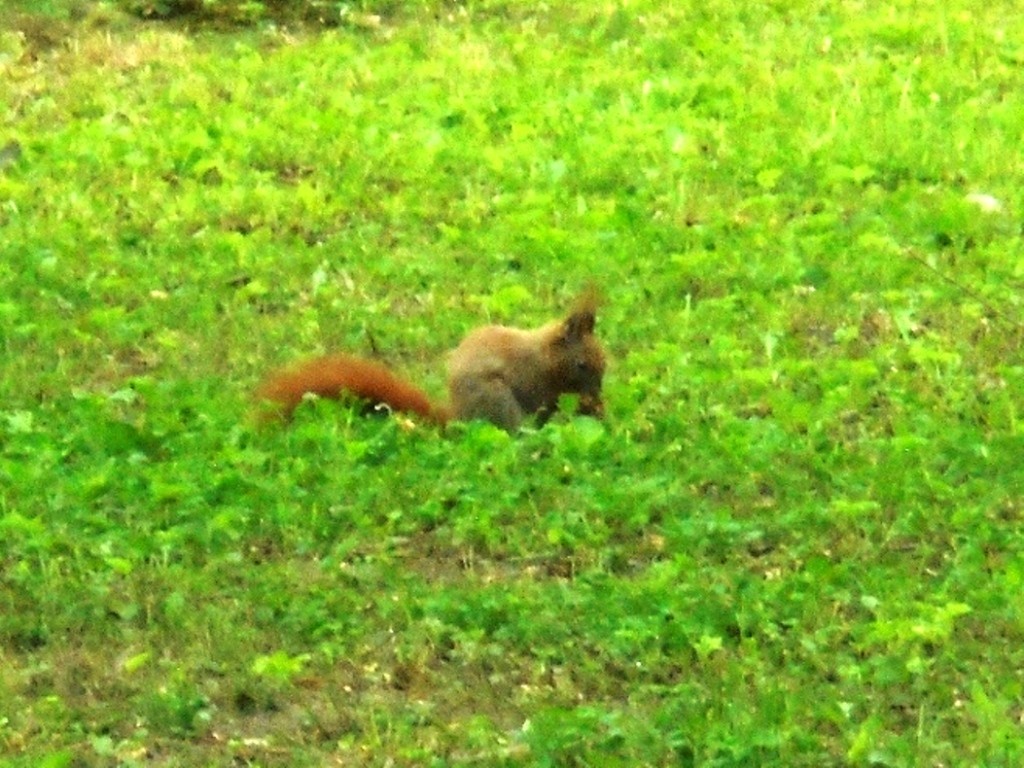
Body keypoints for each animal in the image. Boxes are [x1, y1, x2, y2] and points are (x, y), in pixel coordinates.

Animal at [258, 290, 606, 434]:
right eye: (582, 365)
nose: (597, 394)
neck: (545, 355)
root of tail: (456, 417)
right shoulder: (529, 376)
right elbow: (540, 400)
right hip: (496, 399)